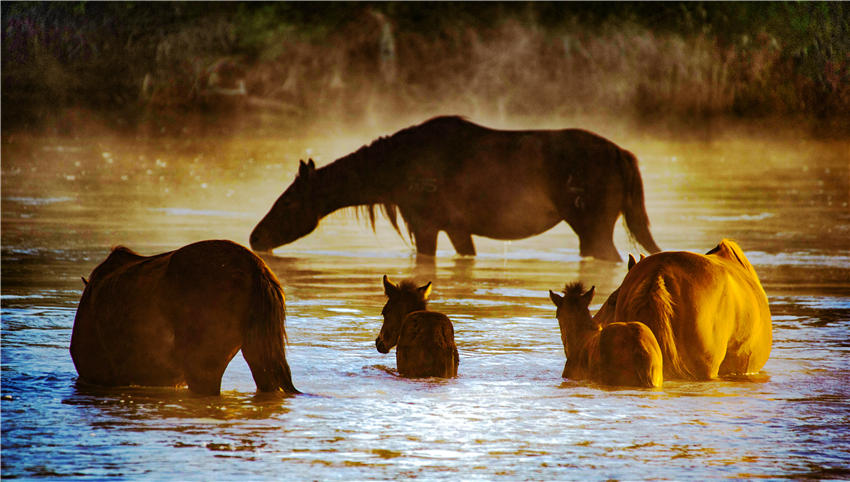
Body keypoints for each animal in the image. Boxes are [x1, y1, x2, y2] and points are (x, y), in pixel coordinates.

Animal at [248, 115, 660, 262]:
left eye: (288, 204)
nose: (255, 237)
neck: (388, 176)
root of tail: (624, 155)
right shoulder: (459, 229)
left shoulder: (425, 224)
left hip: (592, 226)